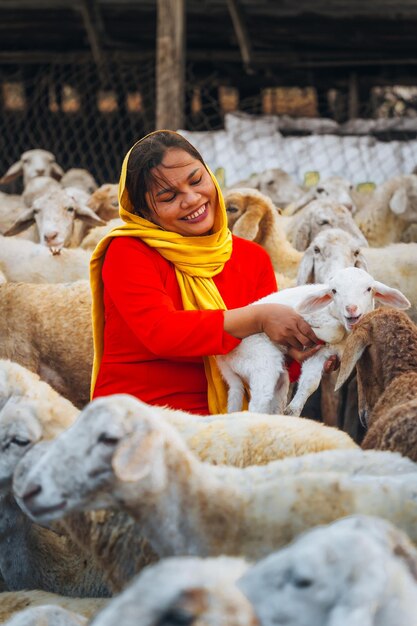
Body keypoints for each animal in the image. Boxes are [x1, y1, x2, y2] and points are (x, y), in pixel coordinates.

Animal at [218, 264, 410, 414]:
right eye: (334, 291)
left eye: (369, 289)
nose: (351, 308)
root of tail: (223, 359)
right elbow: (333, 330)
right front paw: (313, 330)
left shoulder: (321, 354)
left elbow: (310, 383)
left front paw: (292, 410)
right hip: (260, 358)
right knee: (258, 403)